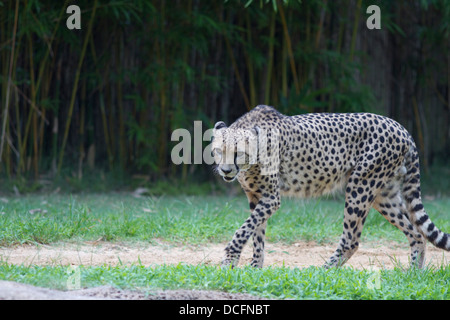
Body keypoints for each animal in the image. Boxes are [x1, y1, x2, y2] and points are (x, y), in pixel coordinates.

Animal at [212, 104, 450, 268]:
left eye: (238, 152)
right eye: (218, 151)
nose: (226, 171)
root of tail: (401, 127)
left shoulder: (271, 198)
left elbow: (245, 229)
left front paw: (230, 259)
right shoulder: (256, 197)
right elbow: (257, 233)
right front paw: (254, 268)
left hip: (360, 185)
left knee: (351, 240)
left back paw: (322, 271)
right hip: (384, 195)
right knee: (417, 234)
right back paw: (413, 274)